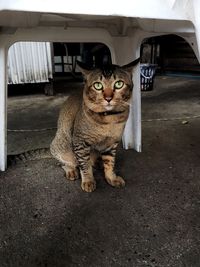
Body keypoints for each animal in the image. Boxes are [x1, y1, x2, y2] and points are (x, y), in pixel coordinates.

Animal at [50, 58, 140, 193]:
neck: (109, 119)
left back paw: (98, 163)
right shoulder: (80, 142)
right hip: (62, 145)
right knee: (66, 162)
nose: (108, 98)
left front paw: (111, 177)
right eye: (98, 85)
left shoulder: (111, 143)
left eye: (119, 84)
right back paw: (71, 170)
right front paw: (88, 181)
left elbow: (110, 163)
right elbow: (84, 164)